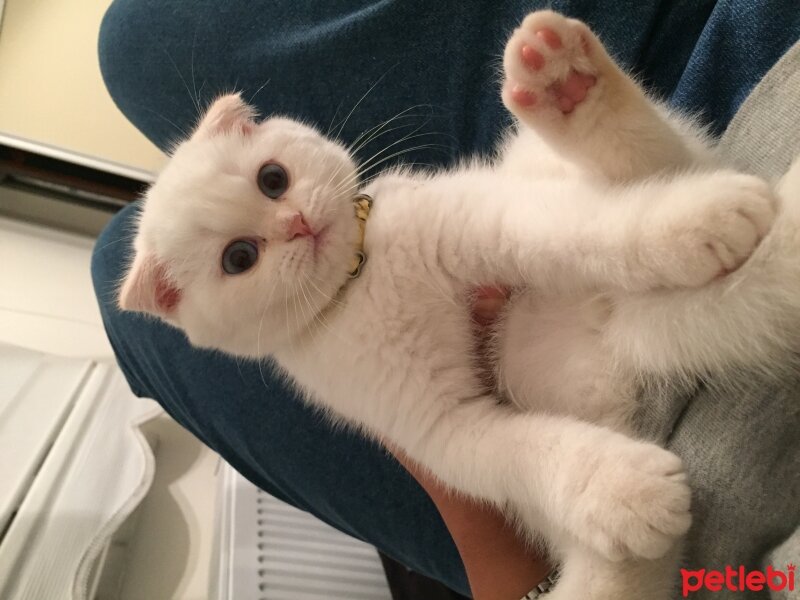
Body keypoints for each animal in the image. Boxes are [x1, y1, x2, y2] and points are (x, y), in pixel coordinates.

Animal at [117, 10, 792, 600]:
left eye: (272, 178)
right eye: (238, 258)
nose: (299, 224)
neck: (363, 280)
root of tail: (614, 329)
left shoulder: (493, 221)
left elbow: (596, 231)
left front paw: (697, 224)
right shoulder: (437, 426)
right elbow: (520, 452)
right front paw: (624, 490)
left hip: (545, 173)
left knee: (654, 164)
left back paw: (568, 86)